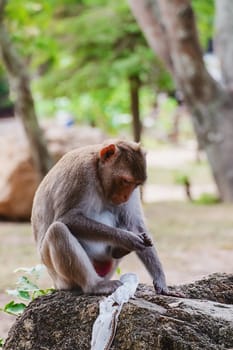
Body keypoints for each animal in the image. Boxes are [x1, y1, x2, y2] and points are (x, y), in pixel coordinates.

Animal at [31, 139, 169, 296]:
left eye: (136, 184)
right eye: (126, 181)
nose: (125, 197)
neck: (97, 172)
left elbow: (134, 224)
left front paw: (160, 279)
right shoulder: (81, 174)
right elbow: (66, 218)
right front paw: (127, 239)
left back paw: (118, 251)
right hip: (61, 278)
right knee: (57, 230)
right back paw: (95, 285)